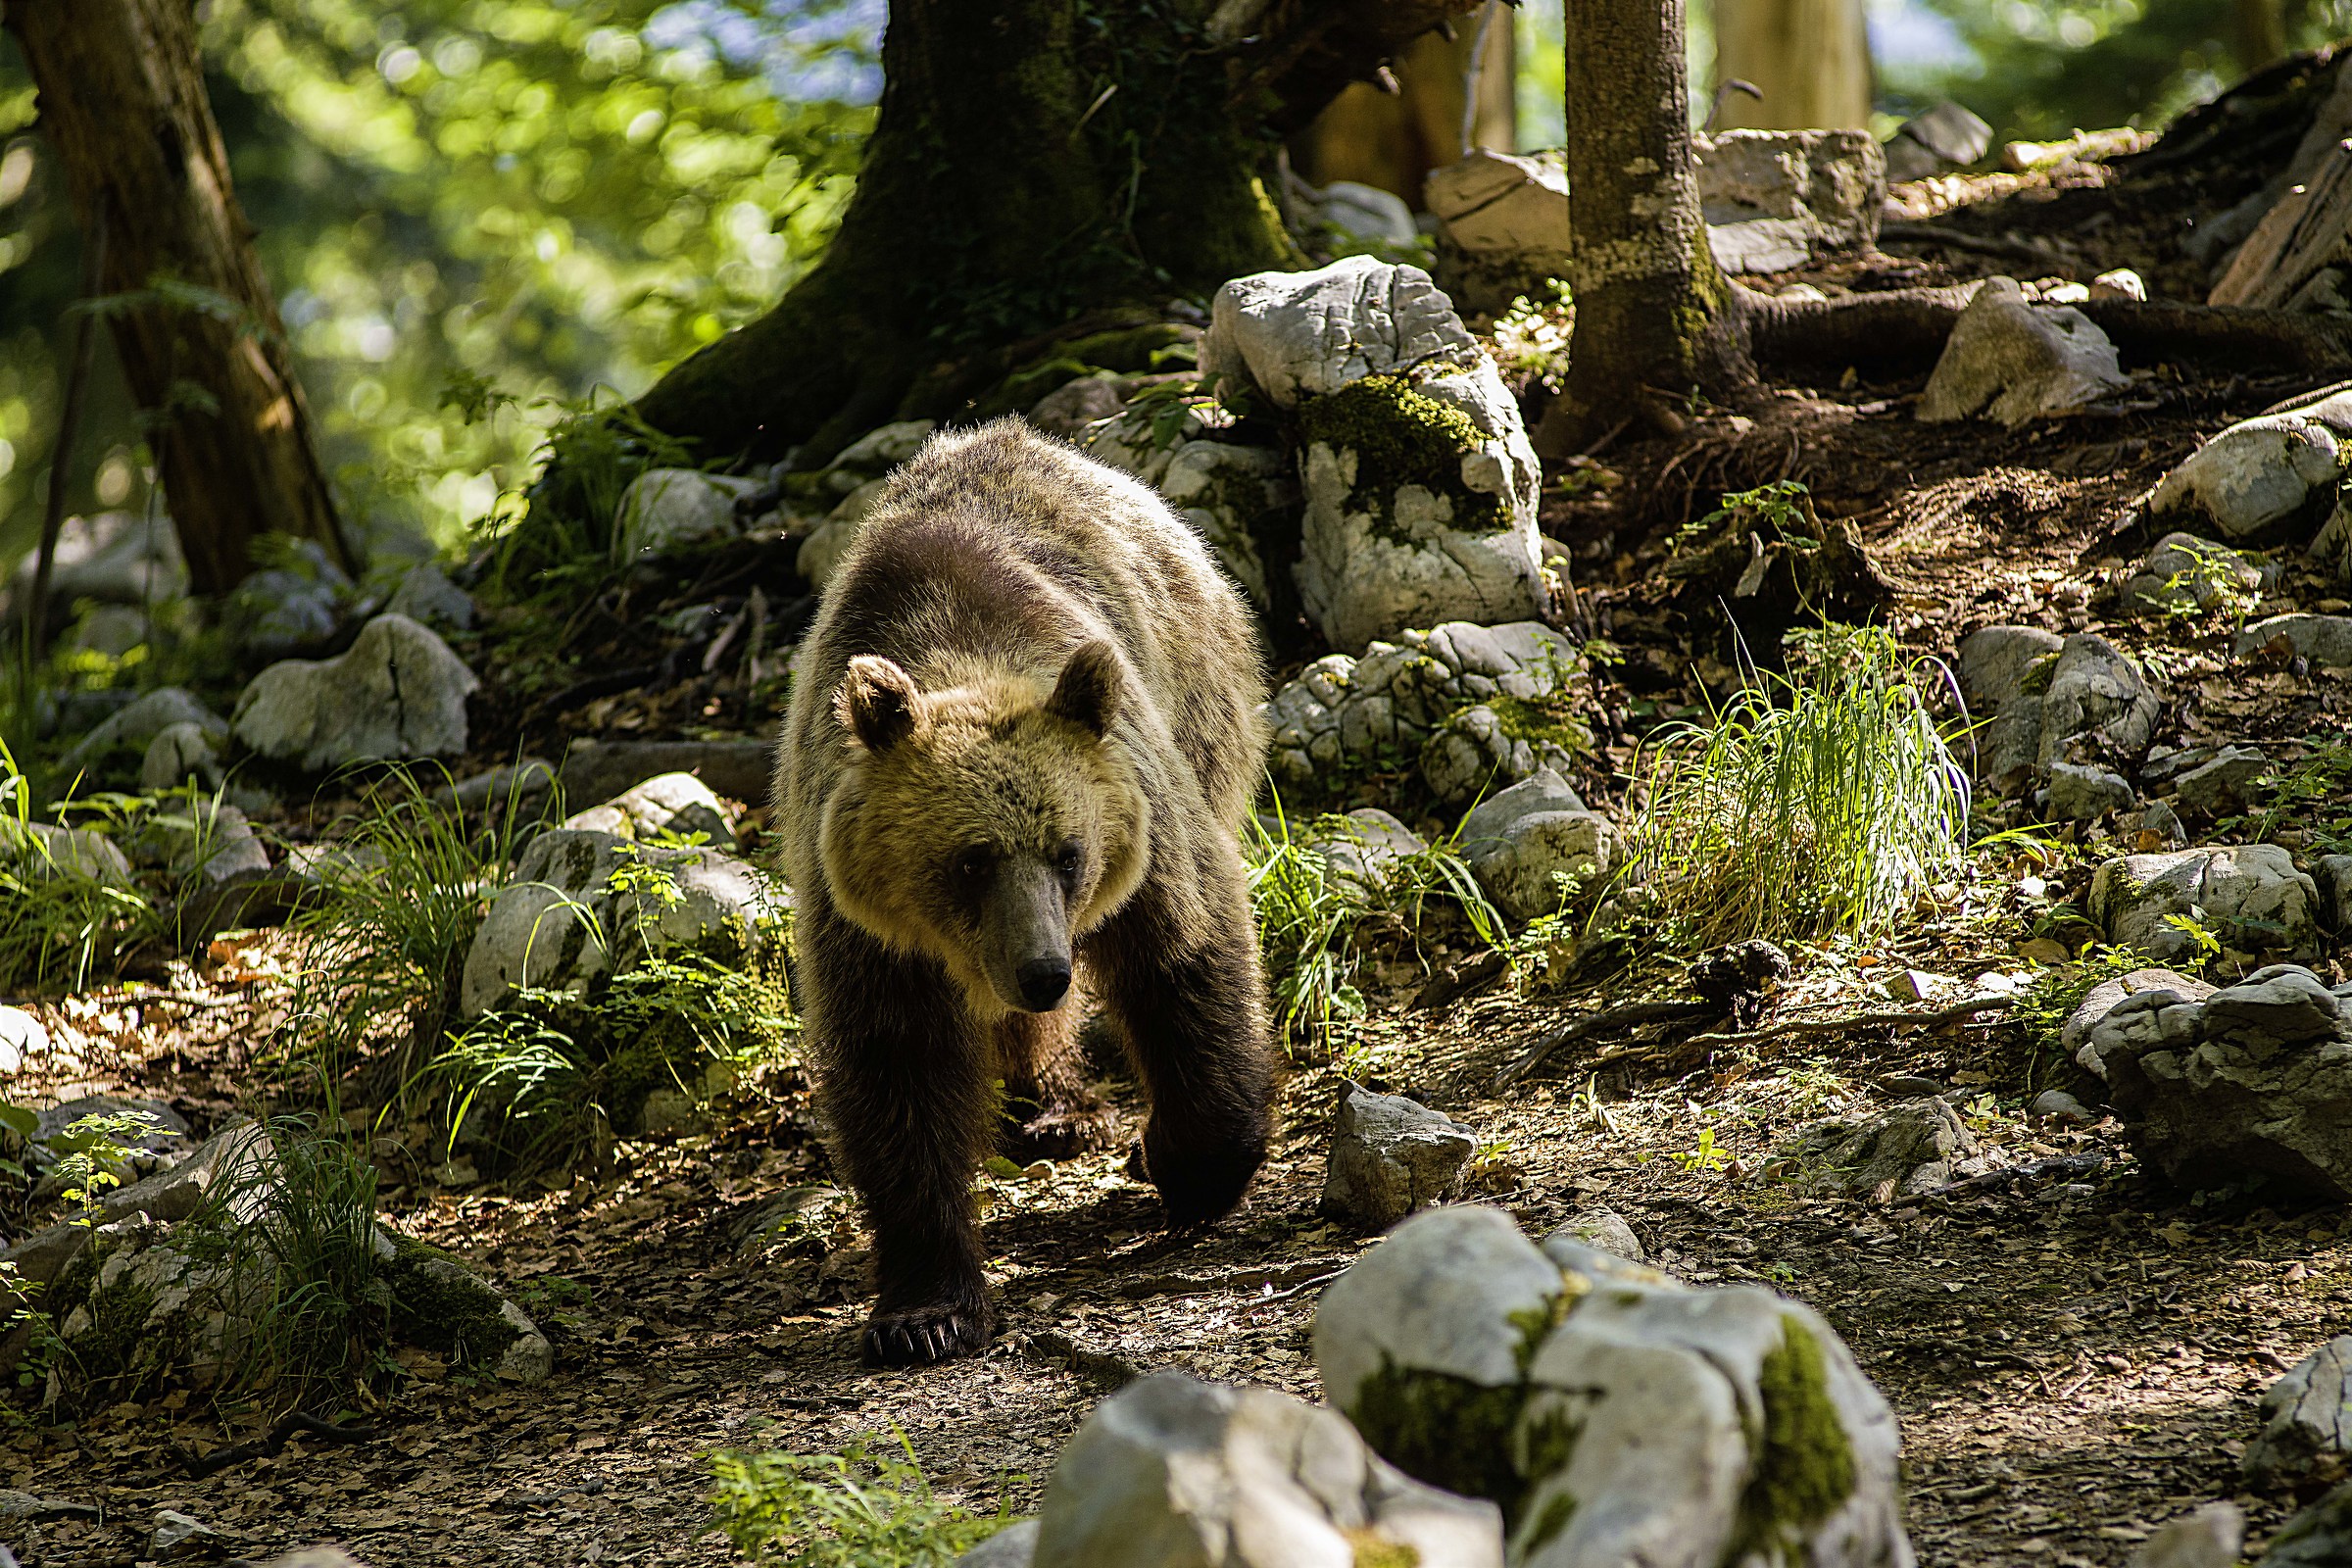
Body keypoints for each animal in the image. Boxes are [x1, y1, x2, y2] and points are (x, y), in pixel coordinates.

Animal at [773, 418, 1276, 1367]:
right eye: (969, 860)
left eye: (1069, 852)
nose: (1044, 970)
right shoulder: (867, 926)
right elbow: (897, 1063)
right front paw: (924, 1311)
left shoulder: (1140, 815)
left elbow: (1185, 957)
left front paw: (1187, 1162)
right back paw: (1042, 1104)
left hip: (1203, 689)